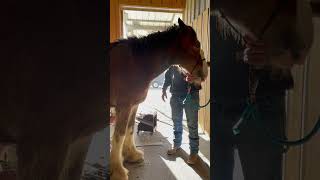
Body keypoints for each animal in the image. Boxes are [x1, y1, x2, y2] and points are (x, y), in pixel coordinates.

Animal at [110, 18, 204, 180]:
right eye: (196, 45)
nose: (203, 75)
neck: (135, 63)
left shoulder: (133, 106)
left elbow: (129, 129)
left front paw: (132, 155)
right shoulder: (124, 106)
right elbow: (119, 135)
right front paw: (118, 171)